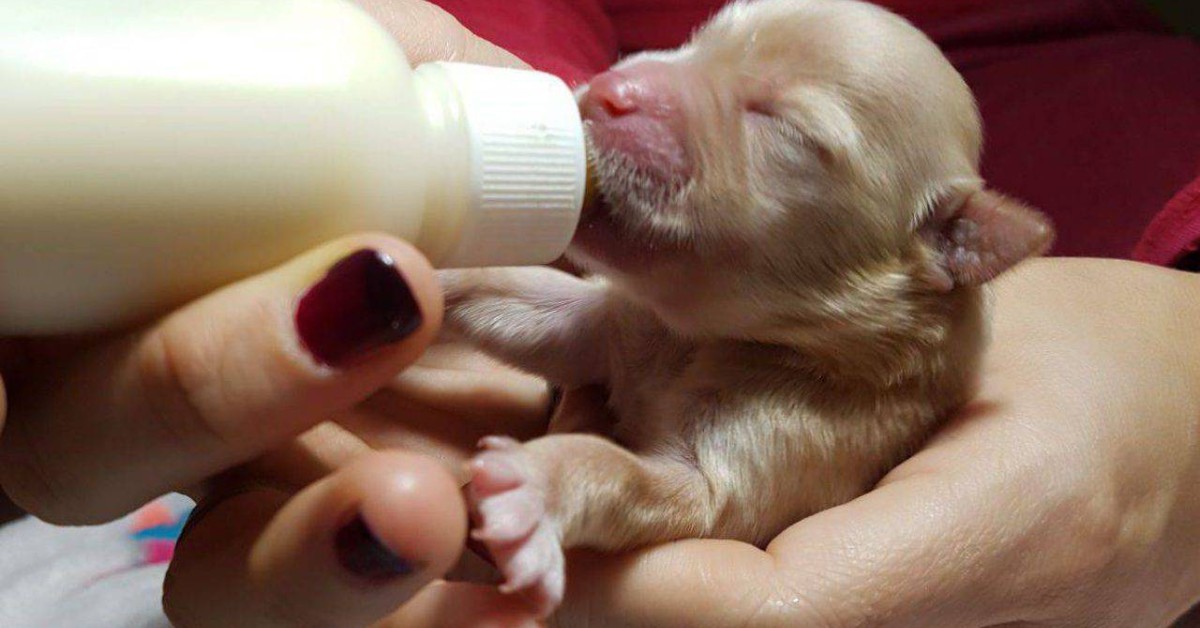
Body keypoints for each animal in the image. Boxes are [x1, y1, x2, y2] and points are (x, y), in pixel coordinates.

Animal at [439, 0, 1051, 614]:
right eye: (698, 39)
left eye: (786, 128)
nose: (609, 90)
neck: (702, 336)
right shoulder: (610, 326)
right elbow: (522, 300)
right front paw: (430, 269)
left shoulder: (755, 466)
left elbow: (623, 473)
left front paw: (535, 485)